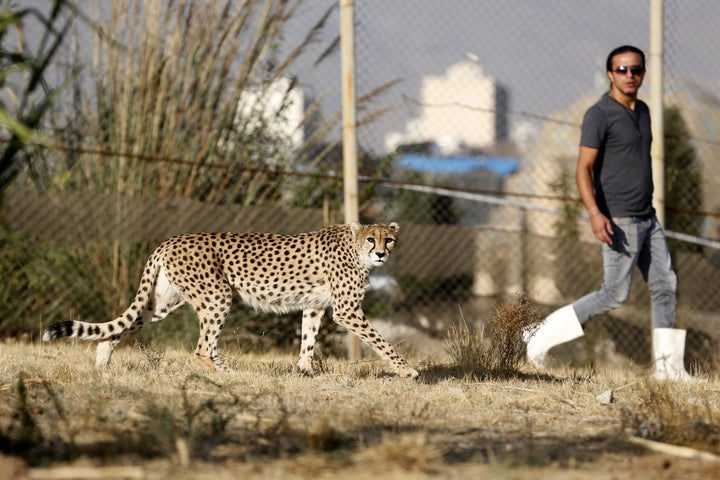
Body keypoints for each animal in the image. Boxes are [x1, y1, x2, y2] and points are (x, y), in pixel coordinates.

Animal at [43, 221, 416, 378]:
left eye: (389, 239)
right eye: (371, 239)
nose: (382, 254)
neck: (355, 249)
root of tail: (169, 240)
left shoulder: (314, 305)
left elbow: (308, 340)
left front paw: (304, 371)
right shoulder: (347, 311)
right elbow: (382, 342)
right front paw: (407, 371)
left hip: (162, 302)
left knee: (124, 326)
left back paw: (103, 360)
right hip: (217, 296)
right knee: (201, 349)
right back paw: (230, 374)